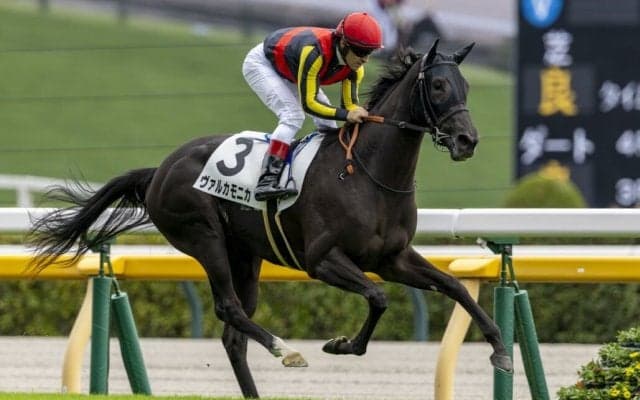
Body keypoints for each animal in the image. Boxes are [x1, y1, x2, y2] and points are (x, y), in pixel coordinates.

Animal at [27, 40, 513, 398]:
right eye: (438, 86)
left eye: (465, 85)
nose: (467, 139)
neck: (367, 173)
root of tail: (159, 169)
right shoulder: (323, 260)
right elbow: (377, 298)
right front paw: (342, 344)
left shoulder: (392, 258)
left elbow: (453, 286)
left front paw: (500, 347)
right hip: (204, 238)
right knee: (228, 308)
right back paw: (285, 350)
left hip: (246, 256)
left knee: (233, 335)